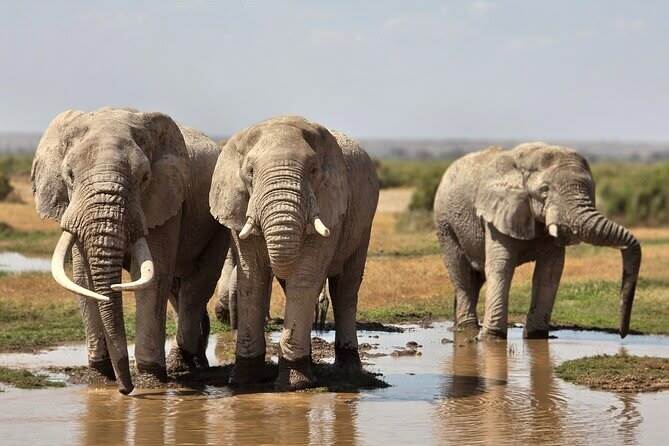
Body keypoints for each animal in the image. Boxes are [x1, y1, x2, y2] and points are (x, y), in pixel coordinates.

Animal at [31, 107, 229, 394]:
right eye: (69, 175)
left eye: (144, 178)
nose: (125, 389)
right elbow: (83, 279)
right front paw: (100, 377)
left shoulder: (165, 200)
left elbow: (152, 276)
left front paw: (150, 381)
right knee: (177, 289)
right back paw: (193, 361)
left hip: (217, 221)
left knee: (197, 285)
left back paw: (183, 364)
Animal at [209, 115, 379, 390]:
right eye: (250, 172)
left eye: (313, 171)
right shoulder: (238, 204)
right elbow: (252, 277)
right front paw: (243, 381)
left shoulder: (330, 204)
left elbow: (304, 277)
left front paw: (296, 383)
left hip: (363, 222)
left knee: (345, 287)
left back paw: (348, 370)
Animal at [433, 142, 641, 339]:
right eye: (544, 190)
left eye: (591, 190)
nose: (623, 334)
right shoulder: (498, 212)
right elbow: (501, 265)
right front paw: (492, 338)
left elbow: (550, 270)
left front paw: (537, 336)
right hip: (445, 224)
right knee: (460, 271)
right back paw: (467, 328)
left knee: (476, 276)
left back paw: (459, 326)